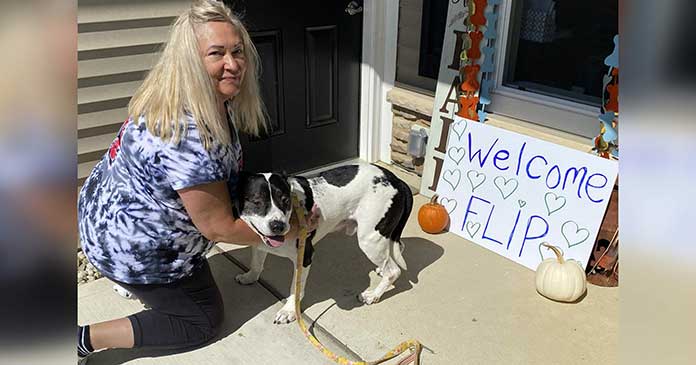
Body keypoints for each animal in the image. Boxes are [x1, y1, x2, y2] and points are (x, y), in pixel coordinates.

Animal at [237, 164, 414, 322]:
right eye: (256, 201)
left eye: (285, 200)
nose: (278, 226)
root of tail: (397, 180)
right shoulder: (259, 244)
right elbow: (256, 264)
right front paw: (250, 277)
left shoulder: (305, 256)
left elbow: (295, 289)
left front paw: (289, 311)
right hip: (383, 237)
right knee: (397, 250)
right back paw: (381, 270)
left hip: (369, 240)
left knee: (394, 271)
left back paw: (374, 295)